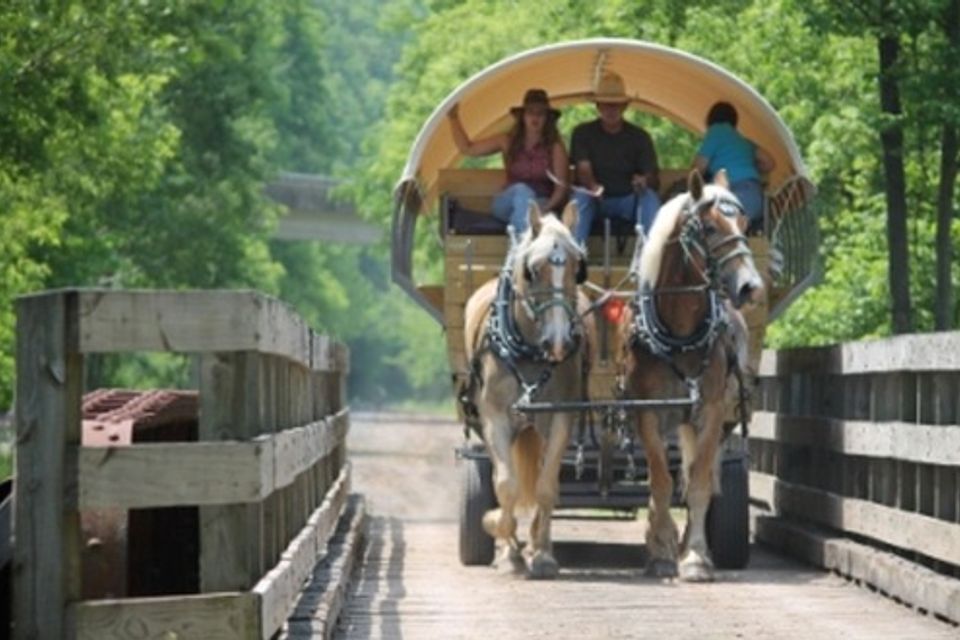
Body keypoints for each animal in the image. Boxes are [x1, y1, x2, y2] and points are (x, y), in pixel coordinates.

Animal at [464, 201, 592, 580]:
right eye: (533, 271)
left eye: (577, 268)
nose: (559, 342)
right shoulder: (494, 417)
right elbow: (506, 485)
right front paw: (502, 539)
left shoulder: (560, 416)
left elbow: (546, 486)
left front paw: (543, 554)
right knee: (498, 475)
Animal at [624, 172, 764, 584]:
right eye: (709, 227)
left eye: (745, 224)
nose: (751, 287)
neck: (681, 334)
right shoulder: (646, 412)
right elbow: (660, 481)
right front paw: (661, 550)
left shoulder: (712, 411)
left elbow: (699, 482)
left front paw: (696, 557)